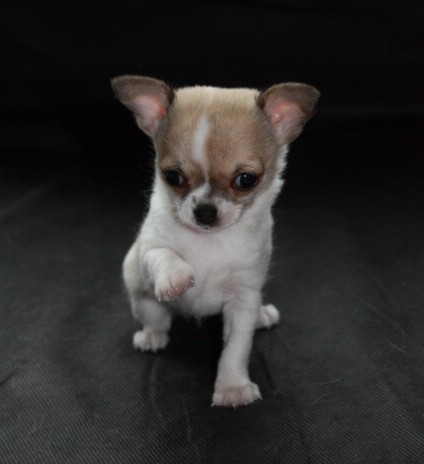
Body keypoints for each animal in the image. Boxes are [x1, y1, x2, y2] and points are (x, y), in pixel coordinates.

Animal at [111, 75, 319, 407]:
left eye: (246, 180)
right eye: (173, 176)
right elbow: (161, 254)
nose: (205, 212)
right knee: (156, 318)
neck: (211, 241)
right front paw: (175, 275)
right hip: (144, 300)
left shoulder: (243, 300)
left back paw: (262, 315)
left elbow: (235, 349)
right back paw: (152, 336)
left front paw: (233, 386)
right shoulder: (147, 248)